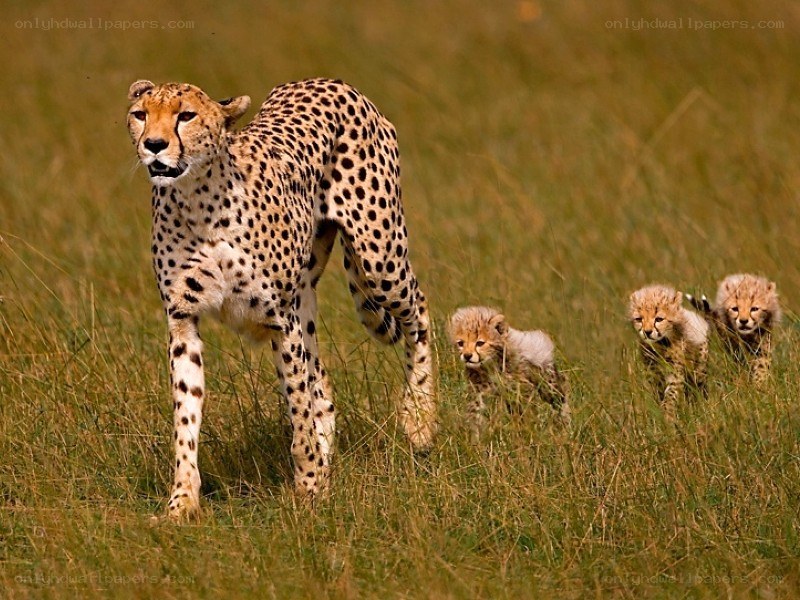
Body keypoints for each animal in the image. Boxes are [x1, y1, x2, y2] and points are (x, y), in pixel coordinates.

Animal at [126, 77, 436, 520]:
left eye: (185, 115)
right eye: (140, 114)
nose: (153, 144)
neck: (197, 199)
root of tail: (330, 81)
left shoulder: (279, 320)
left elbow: (299, 411)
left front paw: (308, 490)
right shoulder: (183, 319)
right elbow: (186, 419)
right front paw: (181, 503)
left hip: (379, 259)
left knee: (419, 312)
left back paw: (420, 421)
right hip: (309, 296)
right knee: (321, 383)